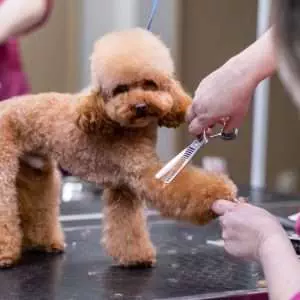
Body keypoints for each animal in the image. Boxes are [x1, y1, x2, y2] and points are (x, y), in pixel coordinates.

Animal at [0, 27, 237, 268]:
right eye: (120, 89)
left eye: (149, 83)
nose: (140, 106)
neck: (125, 127)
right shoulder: (143, 173)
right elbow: (183, 186)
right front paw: (220, 192)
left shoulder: (123, 186)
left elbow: (127, 225)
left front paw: (136, 257)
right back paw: (6, 255)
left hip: (34, 169)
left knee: (37, 200)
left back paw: (45, 243)